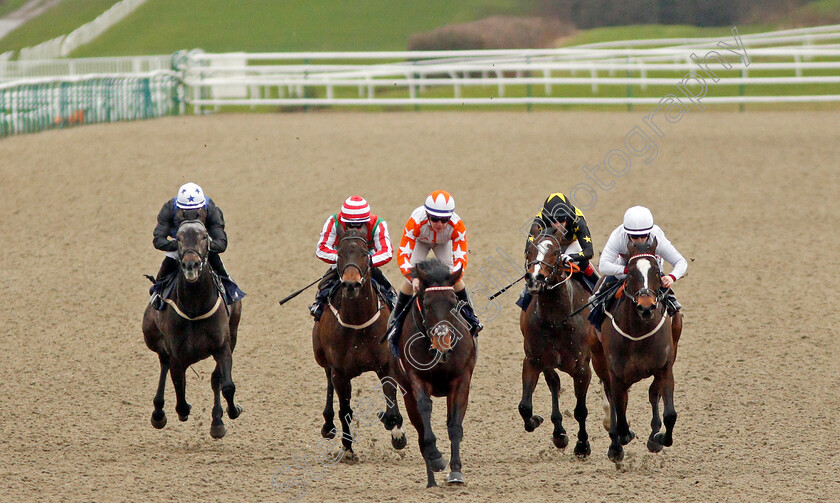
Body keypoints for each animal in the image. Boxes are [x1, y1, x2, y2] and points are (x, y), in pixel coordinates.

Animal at [142, 220, 243, 438]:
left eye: (204, 236)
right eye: (178, 239)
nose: (191, 265)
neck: (195, 308)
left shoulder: (223, 346)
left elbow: (227, 385)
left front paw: (231, 412)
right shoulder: (177, 354)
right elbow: (179, 389)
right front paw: (182, 409)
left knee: (215, 379)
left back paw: (216, 420)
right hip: (153, 338)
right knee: (164, 364)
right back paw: (158, 412)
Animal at [314, 226, 408, 462]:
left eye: (365, 254)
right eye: (339, 253)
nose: (351, 284)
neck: (357, 322)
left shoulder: (387, 366)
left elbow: (392, 407)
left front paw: (397, 434)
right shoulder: (340, 372)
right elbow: (345, 410)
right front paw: (347, 448)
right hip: (322, 357)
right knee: (328, 382)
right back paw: (328, 426)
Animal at [392, 260, 472, 488]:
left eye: (454, 302)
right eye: (426, 305)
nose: (443, 344)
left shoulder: (461, 380)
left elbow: (454, 425)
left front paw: (456, 472)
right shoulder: (416, 379)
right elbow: (425, 408)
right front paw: (436, 457)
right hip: (406, 393)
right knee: (420, 432)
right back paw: (431, 479)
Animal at [520, 230, 596, 458]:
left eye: (555, 252)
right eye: (529, 249)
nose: (535, 279)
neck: (556, 319)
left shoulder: (582, 368)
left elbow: (581, 410)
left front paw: (583, 445)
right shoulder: (533, 361)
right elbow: (525, 406)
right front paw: (537, 421)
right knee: (554, 383)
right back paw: (559, 433)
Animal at [592, 238, 684, 462]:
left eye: (657, 273)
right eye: (631, 273)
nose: (646, 307)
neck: (638, 331)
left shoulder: (664, 368)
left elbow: (669, 413)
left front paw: (658, 439)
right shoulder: (616, 374)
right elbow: (621, 417)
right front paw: (621, 440)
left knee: (650, 394)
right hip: (599, 360)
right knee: (613, 401)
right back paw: (615, 445)